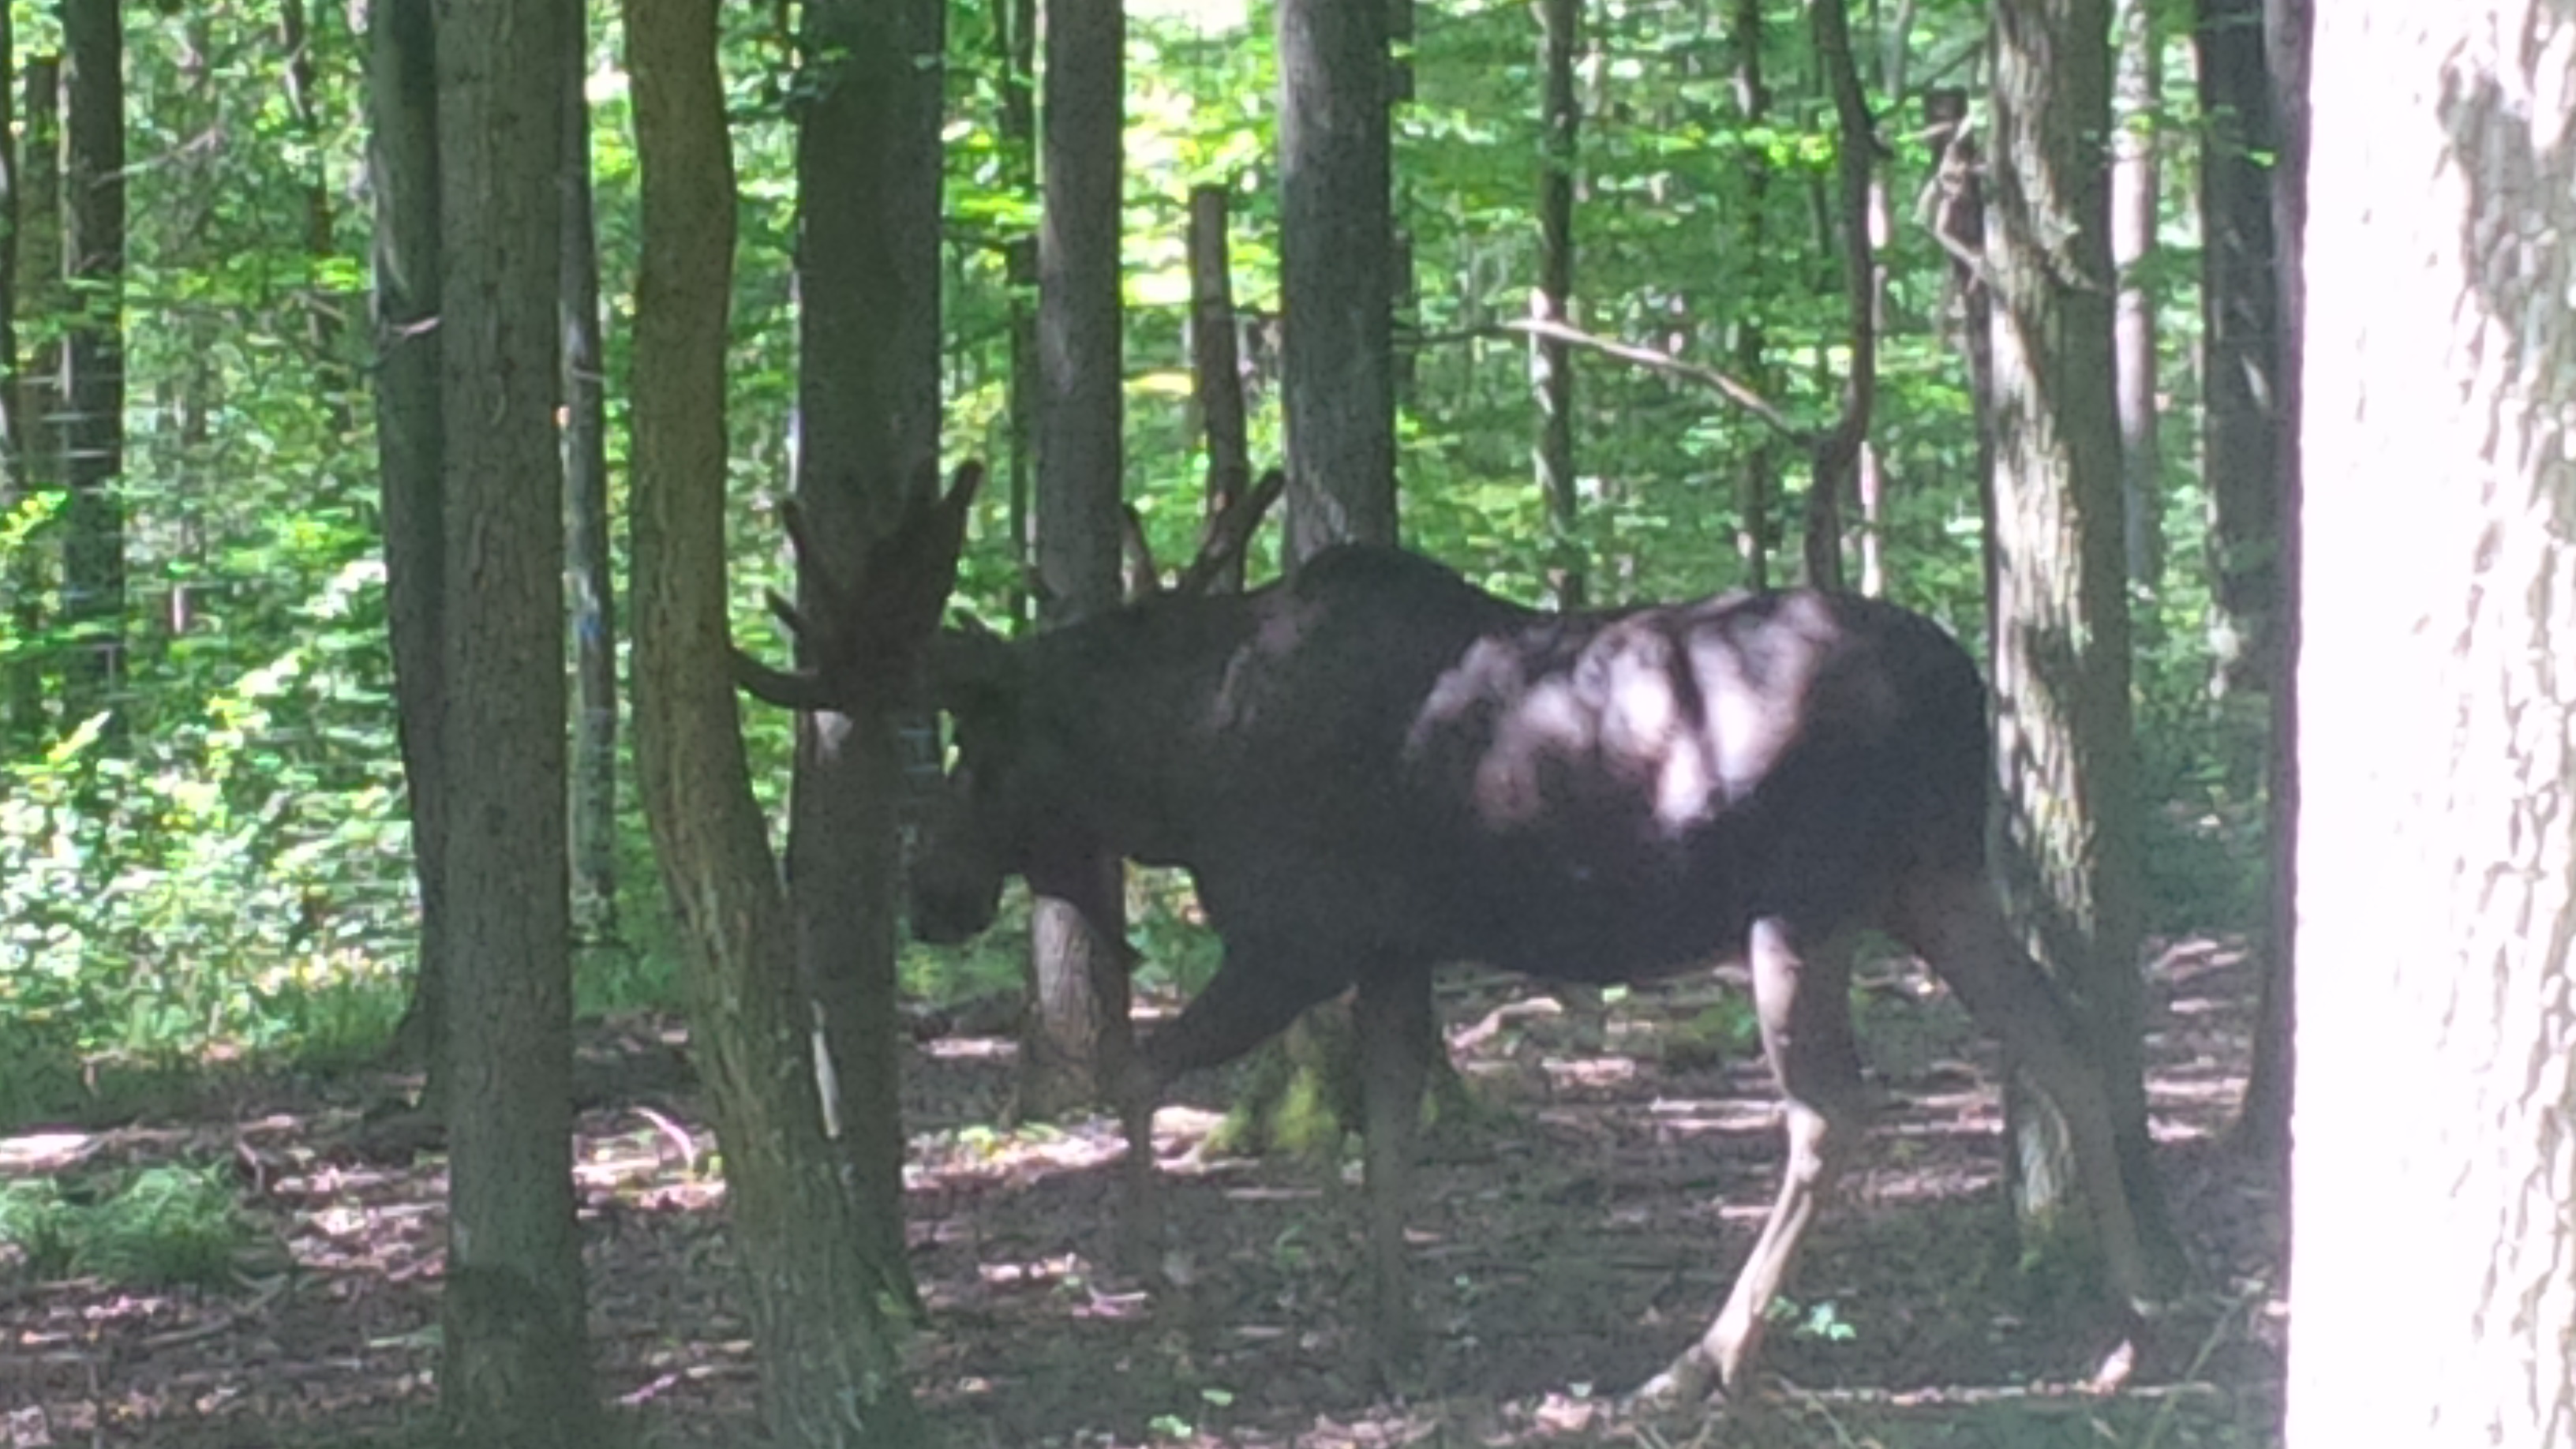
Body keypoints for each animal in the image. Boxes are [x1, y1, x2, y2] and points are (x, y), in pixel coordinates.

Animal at [735, 459, 2173, 1406]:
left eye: (975, 745)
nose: (930, 894)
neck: (1175, 767)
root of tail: (1969, 687)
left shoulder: (1290, 933)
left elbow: (1138, 1072)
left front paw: (1163, 1291)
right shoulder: (1389, 950)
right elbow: (1384, 1129)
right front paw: (1387, 1337)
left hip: (1804, 897)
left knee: (1830, 1109)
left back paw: (1694, 1366)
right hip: (1929, 878)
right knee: (2061, 1036)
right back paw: (2129, 1328)